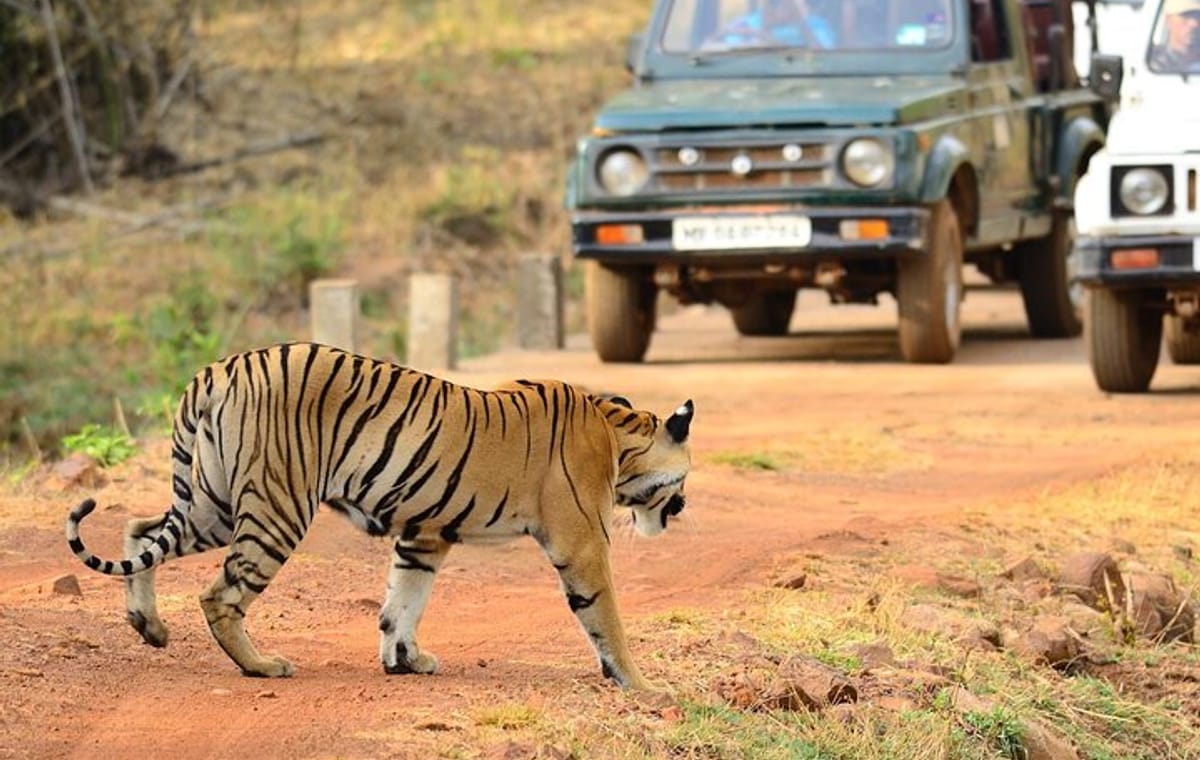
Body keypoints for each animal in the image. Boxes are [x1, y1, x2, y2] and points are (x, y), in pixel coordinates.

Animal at [64, 342, 693, 691]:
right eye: (684, 479)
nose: (683, 506)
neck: (617, 432)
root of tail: (219, 369)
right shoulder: (582, 542)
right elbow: (606, 618)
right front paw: (642, 686)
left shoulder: (424, 534)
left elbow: (402, 603)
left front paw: (404, 661)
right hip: (276, 509)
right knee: (219, 596)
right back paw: (261, 666)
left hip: (213, 502)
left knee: (140, 530)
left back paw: (149, 626)